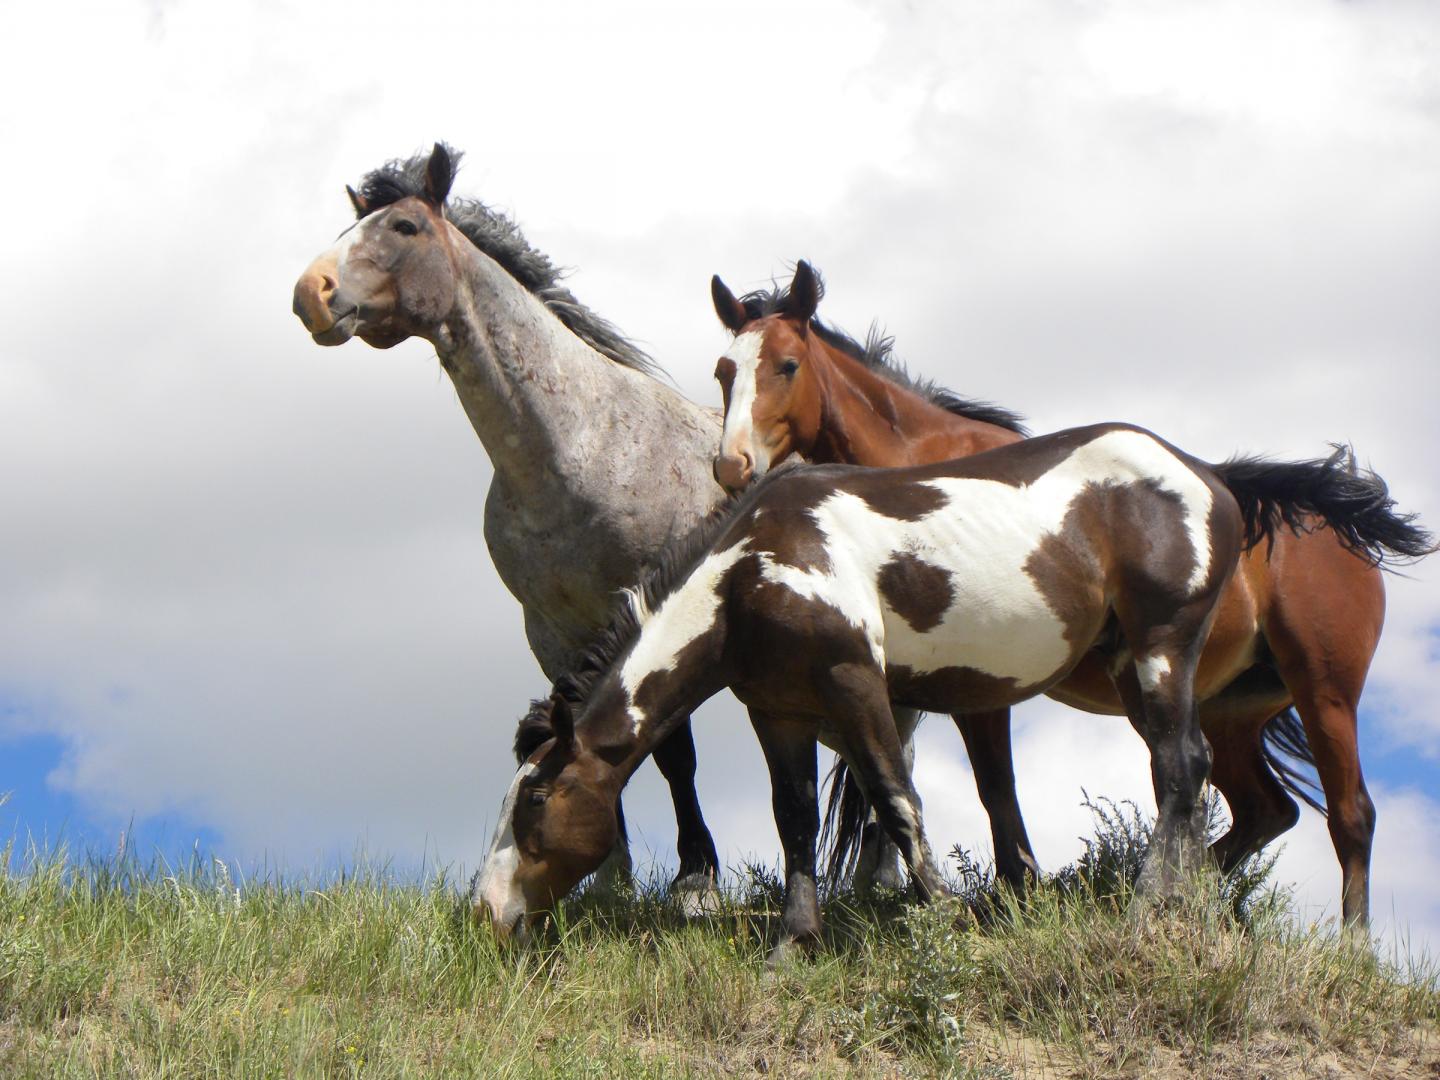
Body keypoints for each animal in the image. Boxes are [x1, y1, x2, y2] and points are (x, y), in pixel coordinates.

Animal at [290, 144, 731, 898]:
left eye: (405, 226)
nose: (309, 293)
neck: (580, 448)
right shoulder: (551, 633)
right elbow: (575, 725)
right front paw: (611, 884)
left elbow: (676, 754)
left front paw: (695, 881)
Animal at [475, 420, 1416, 956]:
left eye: (534, 800)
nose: (489, 910)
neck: (753, 568)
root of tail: (1212, 477)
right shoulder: (777, 708)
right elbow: (794, 821)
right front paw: (792, 945)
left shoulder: (855, 682)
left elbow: (897, 801)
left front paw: (944, 920)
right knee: (1218, 790)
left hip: (1166, 655)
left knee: (1185, 770)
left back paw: (1153, 909)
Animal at [705, 262, 1428, 933]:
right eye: (723, 371)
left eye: (787, 364)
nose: (731, 464)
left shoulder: (975, 681)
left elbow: (989, 786)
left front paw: (1011, 893)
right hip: (1227, 711)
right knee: (1260, 809)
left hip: (1324, 693)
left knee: (1349, 814)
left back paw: (1346, 945)